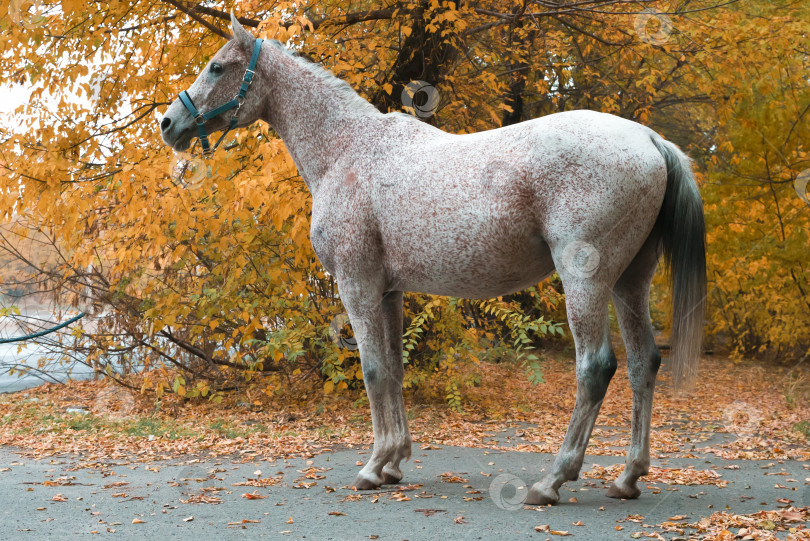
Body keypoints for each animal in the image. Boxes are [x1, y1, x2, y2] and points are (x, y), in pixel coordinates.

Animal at [161, 15, 704, 506]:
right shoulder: (389, 290)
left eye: (217, 67)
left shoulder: (357, 286)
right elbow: (395, 368)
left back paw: (551, 481)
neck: (346, 151)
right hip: (630, 282)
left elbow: (373, 370)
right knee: (643, 363)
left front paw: (372, 467)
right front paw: (394, 462)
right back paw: (627, 478)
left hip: (585, 282)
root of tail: (651, 140)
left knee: (596, 368)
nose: (169, 124)